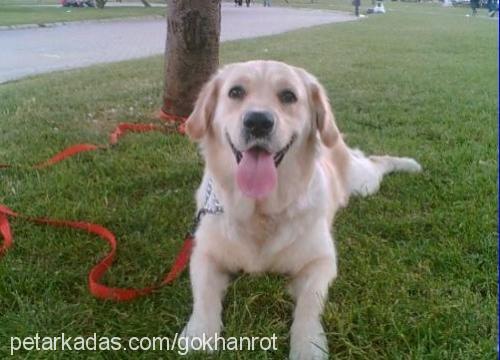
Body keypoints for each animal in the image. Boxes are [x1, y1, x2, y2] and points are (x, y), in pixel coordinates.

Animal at [182, 60, 420, 358]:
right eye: (235, 92)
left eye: (288, 96)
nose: (258, 121)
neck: (260, 213)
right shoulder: (204, 255)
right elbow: (203, 297)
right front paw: (199, 334)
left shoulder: (321, 262)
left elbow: (309, 305)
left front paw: (308, 344)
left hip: (363, 181)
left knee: (377, 161)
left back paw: (408, 164)